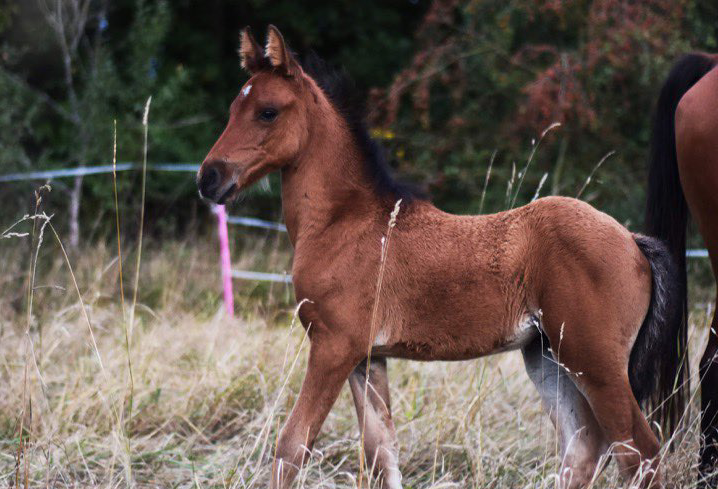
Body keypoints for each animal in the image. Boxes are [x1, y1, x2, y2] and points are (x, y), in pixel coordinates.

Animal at [197, 26, 688, 488]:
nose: (209, 178)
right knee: (583, 446)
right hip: (547, 356)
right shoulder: (366, 358)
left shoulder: (333, 346)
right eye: (232, 109)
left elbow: (292, 444)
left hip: (596, 362)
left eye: (267, 111)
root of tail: (632, 240)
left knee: (639, 452)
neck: (344, 220)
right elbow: (381, 455)